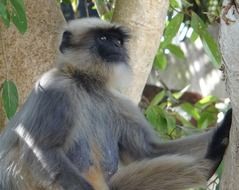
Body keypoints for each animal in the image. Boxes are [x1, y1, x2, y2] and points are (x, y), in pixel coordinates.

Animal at [0, 17, 232, 190]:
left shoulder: (120, 103)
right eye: (103, 38)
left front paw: (225, 127)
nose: (116, 47)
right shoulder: (54, 87)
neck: (88, 85)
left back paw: (210, 159)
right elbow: (41, 148)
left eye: (118, 41)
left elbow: (149, 152)